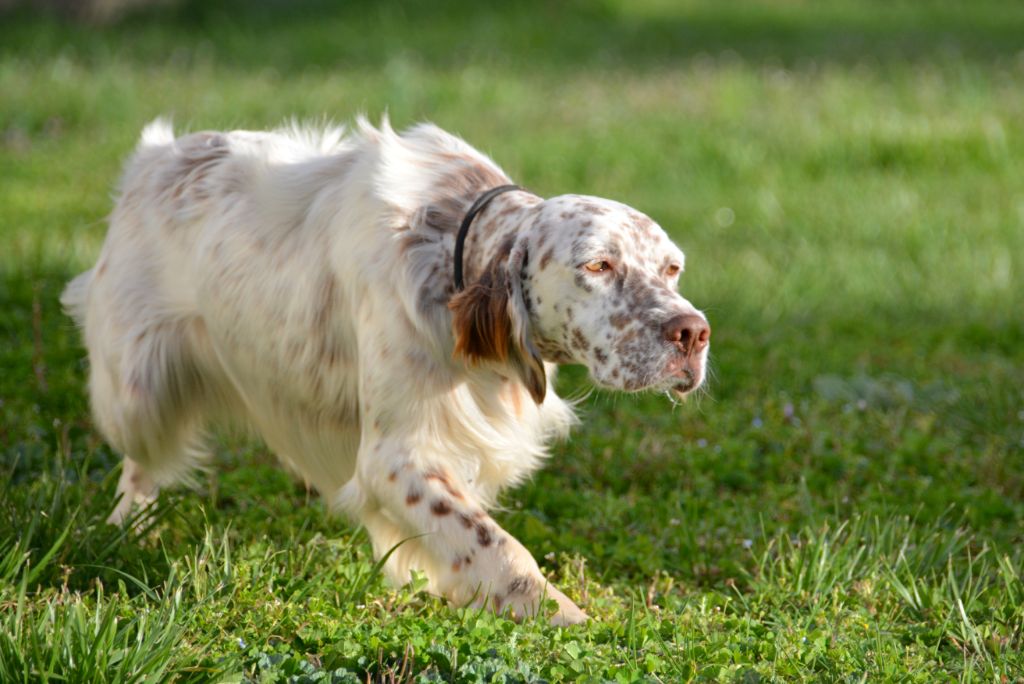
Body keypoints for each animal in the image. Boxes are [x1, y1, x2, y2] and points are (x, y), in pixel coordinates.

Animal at [59, 117, 708, 626]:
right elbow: (495, 543)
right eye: (597, 265)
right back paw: (127, 528)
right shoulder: (397, 457)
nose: (693, 333)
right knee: (139, 463)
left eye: (672, 268)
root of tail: (156, 156)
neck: (446, 249)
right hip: (137, 393)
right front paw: (559, 613)